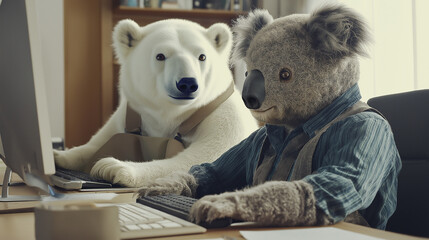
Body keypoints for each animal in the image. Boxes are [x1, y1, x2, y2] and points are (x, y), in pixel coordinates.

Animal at [53, 18, 254, 188]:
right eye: (160, 56)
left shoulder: (223, 116)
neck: (174, 112)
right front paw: (58, 155)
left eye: (202, 56)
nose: (187, 83)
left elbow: (200, 158)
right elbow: (96, 143)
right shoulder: (129, 112)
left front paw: (113, 167)